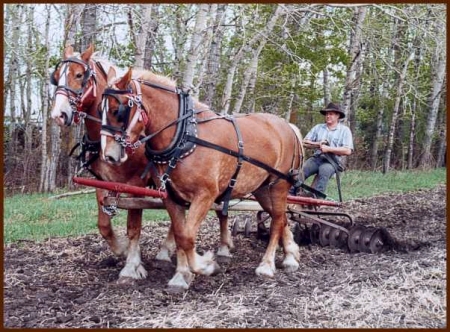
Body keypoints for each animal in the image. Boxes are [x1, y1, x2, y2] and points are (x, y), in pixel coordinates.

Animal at [49, 43, 176, 278]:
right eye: (56, 77)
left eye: (79, 75)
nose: (58, 115)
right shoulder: (102, 181)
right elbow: (104, 225)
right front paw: (122, 250)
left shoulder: (136, 184)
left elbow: (134, 227)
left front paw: (132, 265)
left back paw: (165, 251)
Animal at [100, 68, 304, 290]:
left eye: (116, 111)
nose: (109, 156)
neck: (185, 136)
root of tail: (287, 125)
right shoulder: (171, 197)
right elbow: (180, 234)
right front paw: (181, 276)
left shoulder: (205, 195)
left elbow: (187, 236)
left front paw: (205, 265)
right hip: (262, 188)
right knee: (281, 218)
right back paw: (290, 256)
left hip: (279, 184)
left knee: (277, 221)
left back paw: (266, 265)